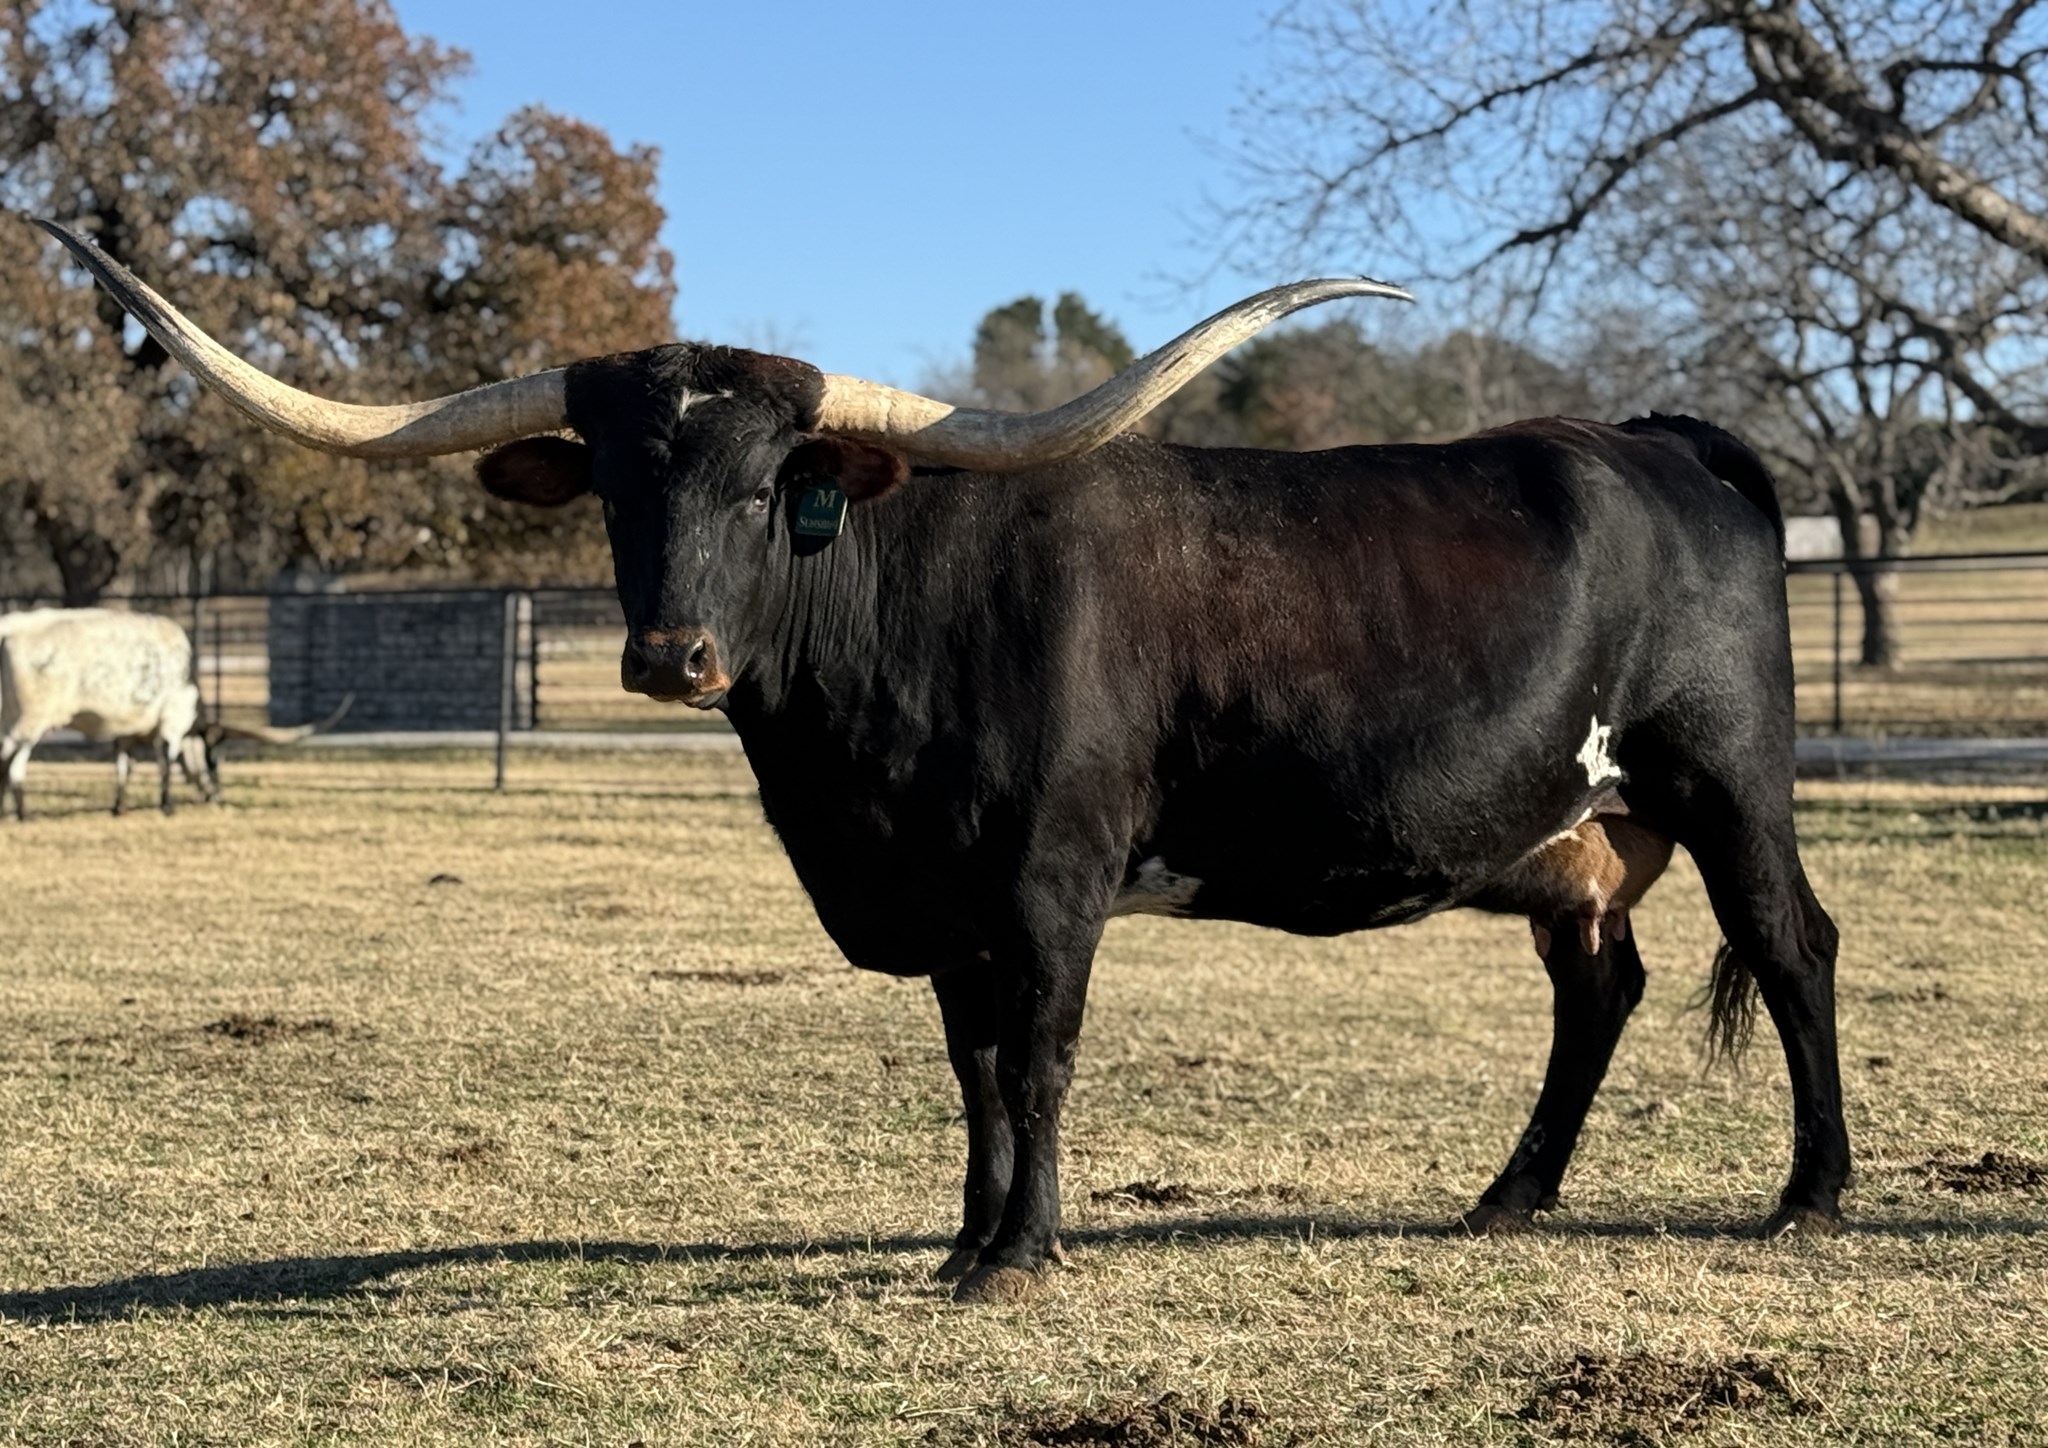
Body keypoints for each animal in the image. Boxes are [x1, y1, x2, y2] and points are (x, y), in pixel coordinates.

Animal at [0, 607, 343, 819]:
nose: (218, 796)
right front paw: (167, 806)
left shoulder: (128, 731)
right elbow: (166, 762)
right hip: (30, 722)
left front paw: (119, 808)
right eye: (214, 758)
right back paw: (20, 814)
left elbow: (124, 767)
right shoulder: (171, 722)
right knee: (10, 762)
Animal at [41, 220, 1848, 1304]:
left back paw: (1812, 1196)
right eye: (619, 485)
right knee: (1598, 987)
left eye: (770, 485)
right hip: (1574, 834)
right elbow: (972, 1071)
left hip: (1725, 776)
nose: (668, 657)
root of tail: (1654, 437)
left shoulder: (1049, 884)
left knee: (1791, 944)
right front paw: (966, 1239)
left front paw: (1022, 1254)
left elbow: (1038, 1062)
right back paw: (1509, 1197)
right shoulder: (944, 902)